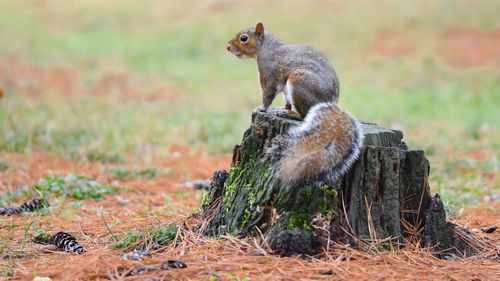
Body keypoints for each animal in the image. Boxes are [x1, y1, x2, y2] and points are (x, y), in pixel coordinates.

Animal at [227, 21, 364, 184]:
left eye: (244, 38)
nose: (228, 47)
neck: (266, 47)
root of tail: (330, 102)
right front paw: (276, 108)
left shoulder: (268, 75)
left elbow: (268, 95)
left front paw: (262, 108)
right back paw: (284, 110)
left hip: (299, 82)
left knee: (304, 115)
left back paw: (290, 114)